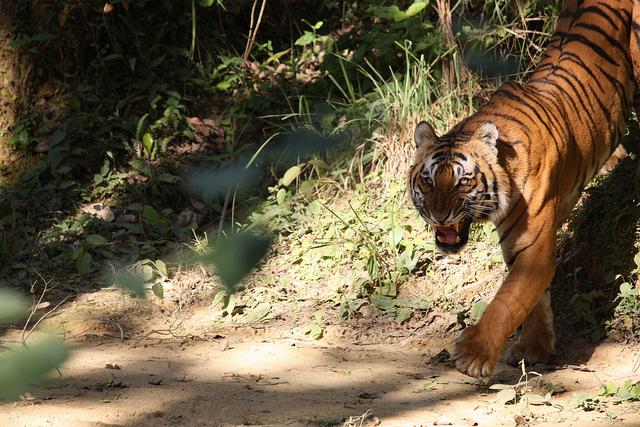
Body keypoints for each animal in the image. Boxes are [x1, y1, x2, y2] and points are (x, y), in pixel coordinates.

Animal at [408, 0, 640, 382]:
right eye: (427, 180)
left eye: (462, 181)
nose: (438, 216)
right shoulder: (523, 245)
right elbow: (532, 299)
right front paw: (534, 349)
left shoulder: (533, 244)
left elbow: (508, 300)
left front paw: (473, 354)